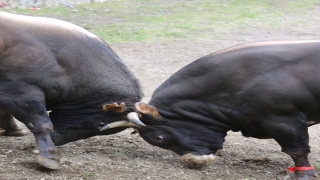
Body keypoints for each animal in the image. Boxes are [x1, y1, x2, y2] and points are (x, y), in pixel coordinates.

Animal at [0, 11, 144, 169]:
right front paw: (48, 156)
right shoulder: (20, 93)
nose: (56, 139)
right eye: (99, 123)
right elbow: (41, 124)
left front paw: (12, 129)